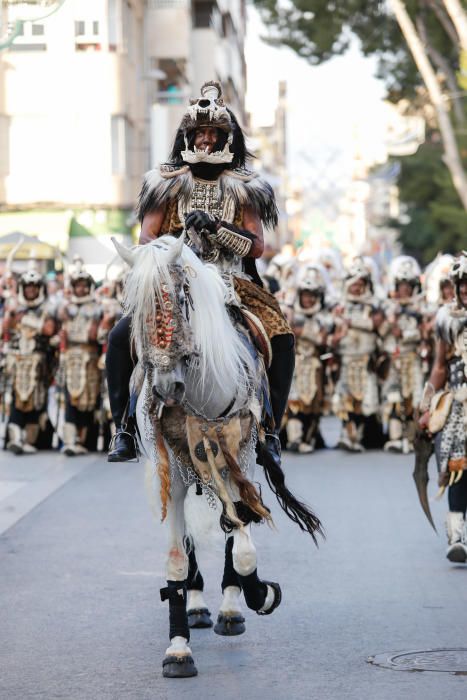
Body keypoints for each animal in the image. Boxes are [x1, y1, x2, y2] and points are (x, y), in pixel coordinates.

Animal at [113, 235, 322, 680]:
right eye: (135, 308)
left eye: (181, 296)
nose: (166, 387)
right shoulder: (173, 471)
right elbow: (177, 559)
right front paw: (177, 650)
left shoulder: (239, 455)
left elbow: (242, 546)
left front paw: (257, 594)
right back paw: (196, 608)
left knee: (234, 527)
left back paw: (230, 608)